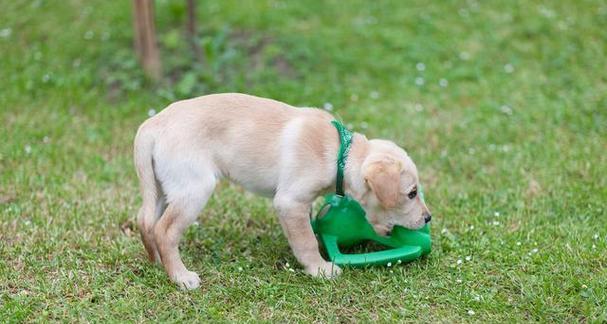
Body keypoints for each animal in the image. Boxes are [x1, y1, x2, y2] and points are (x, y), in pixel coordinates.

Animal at [137, 93, 432, 288]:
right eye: (411, 193)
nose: (428, 218)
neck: (340, 154)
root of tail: (153, 124)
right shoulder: (290, 202)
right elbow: (306, 240)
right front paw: (319, 269)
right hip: (195, 187)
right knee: (165, 231)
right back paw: (181, 277)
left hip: (162, 188)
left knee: (145, 221)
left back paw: (158, 262)